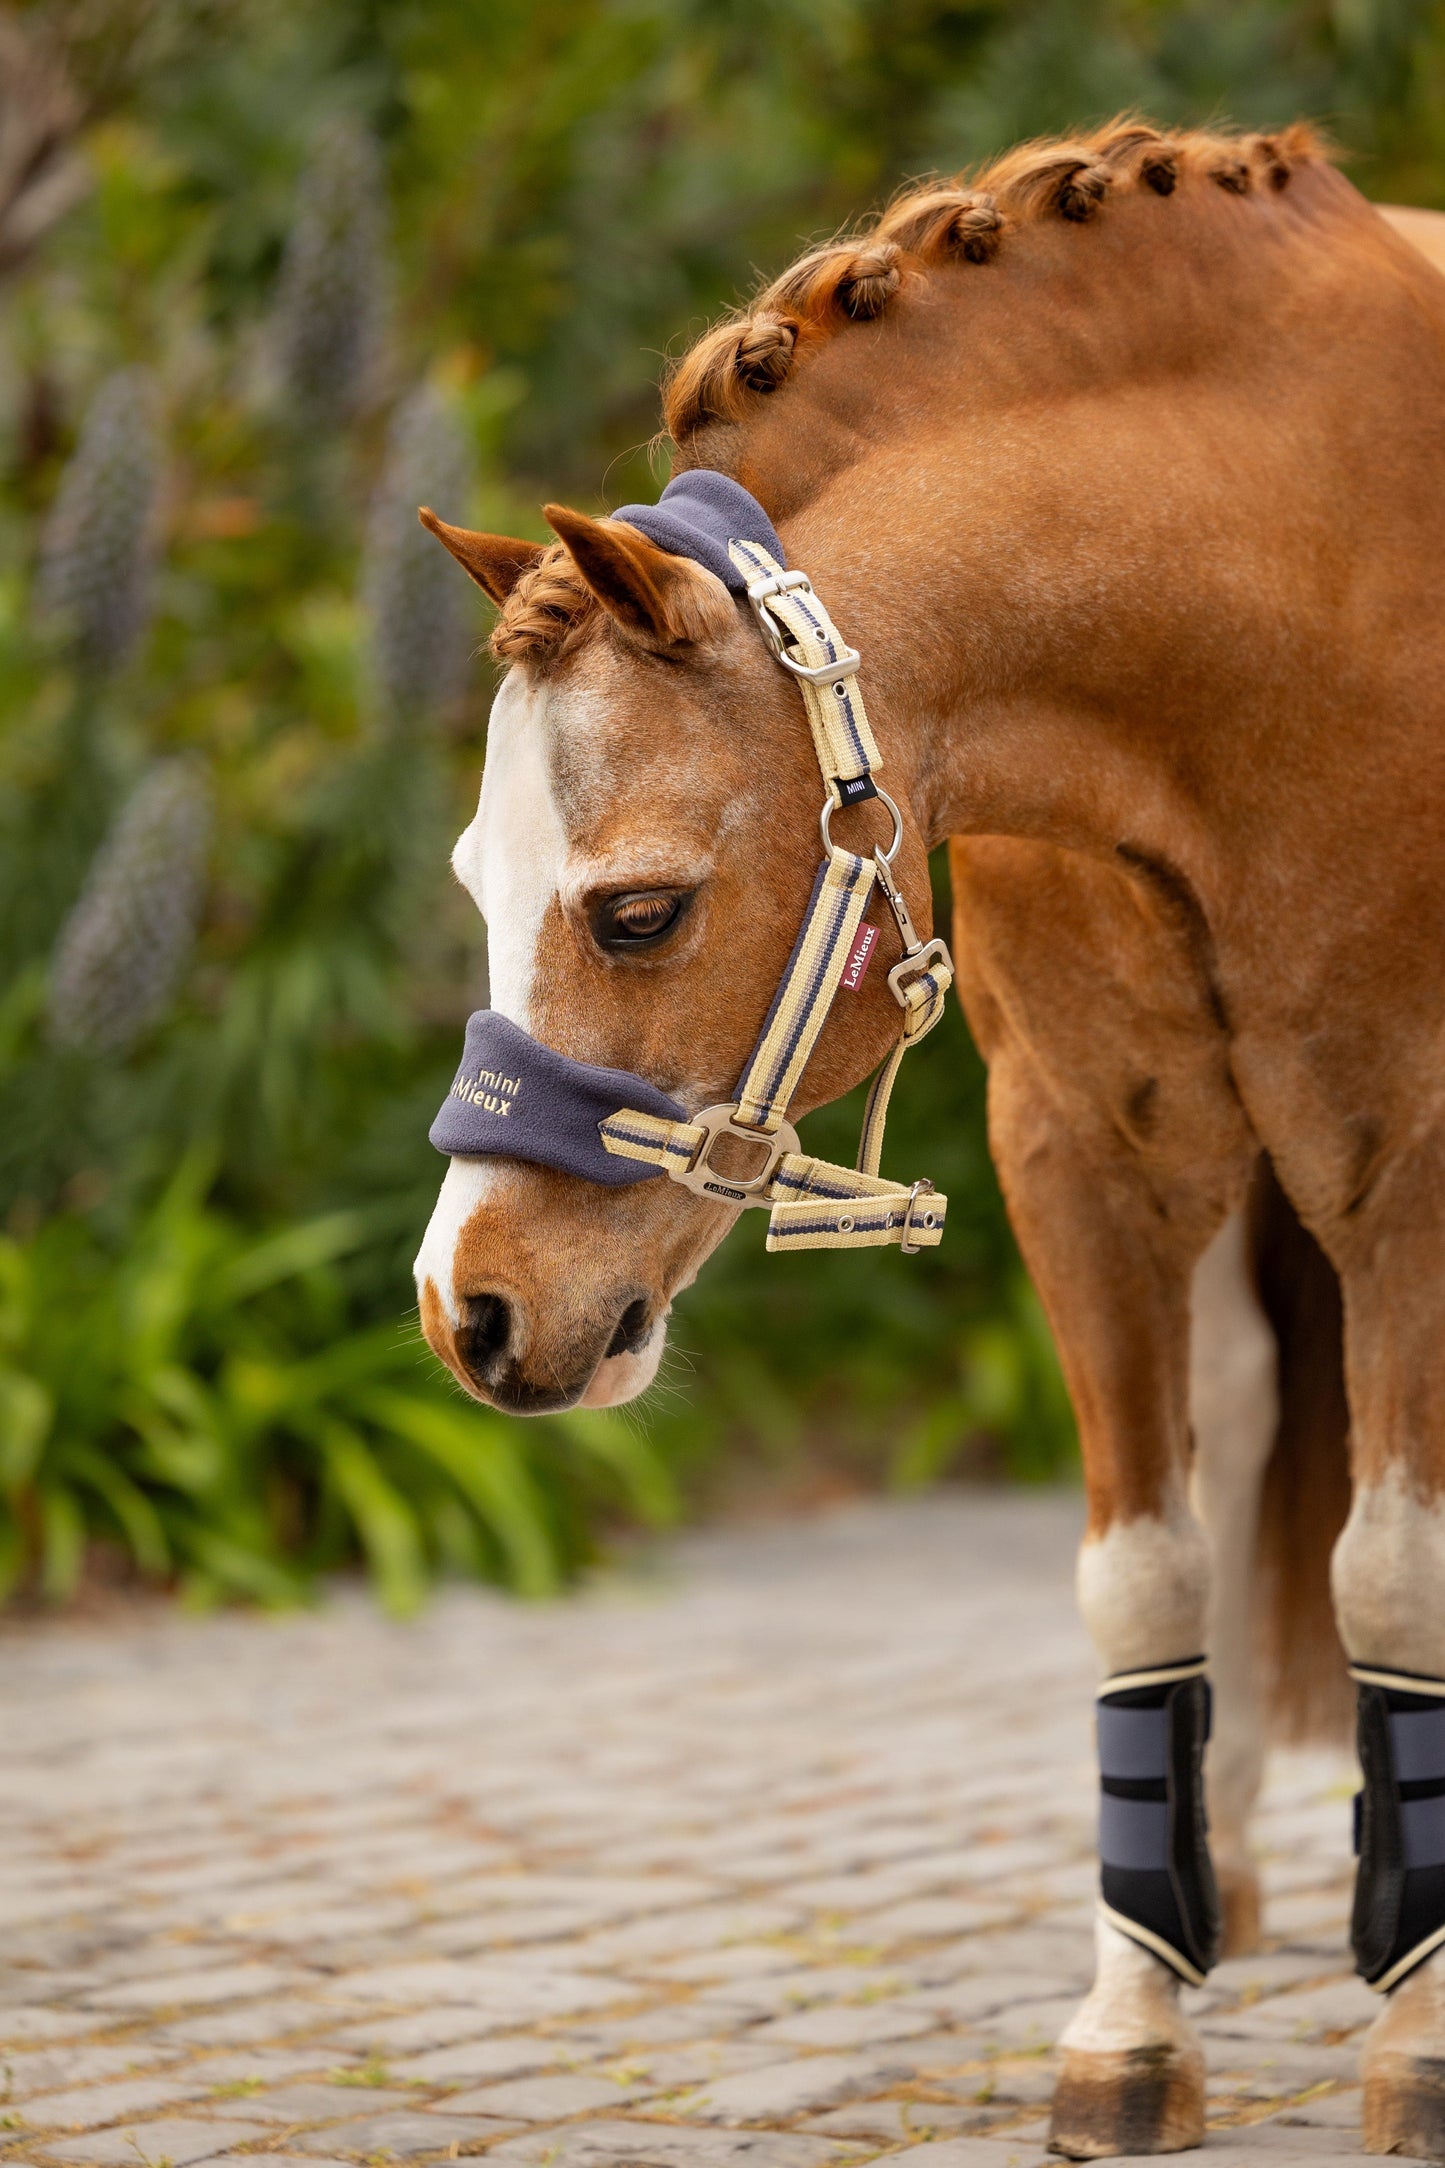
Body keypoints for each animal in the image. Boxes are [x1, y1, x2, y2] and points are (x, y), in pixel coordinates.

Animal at [409, 126, 1445, 2159]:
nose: (468, 1310)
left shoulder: (1418, 1165)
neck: (1295, 589)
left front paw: (1425, 2032)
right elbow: (1144, 1570)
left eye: (636, 912)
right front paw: (1135, 2013)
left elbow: (1395, 1576)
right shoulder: (1092, 1164)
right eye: (483, 884)